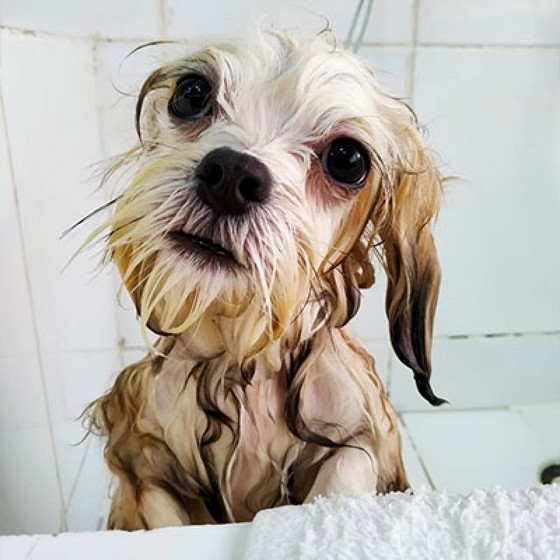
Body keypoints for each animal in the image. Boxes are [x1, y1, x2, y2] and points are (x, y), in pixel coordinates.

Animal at [84, 29, 442, 528]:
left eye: (347, 158)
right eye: (191, 93)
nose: (231, 175)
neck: (238, 357)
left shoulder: (358, 434)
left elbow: (345, 471)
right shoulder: (144, 459)